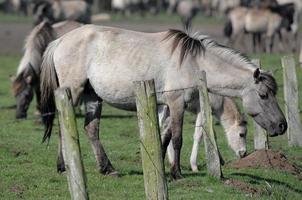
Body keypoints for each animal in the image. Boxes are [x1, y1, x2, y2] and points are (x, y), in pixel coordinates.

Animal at [40, 25, 288, 180]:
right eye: (263, 95)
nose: (282, 126)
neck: (193, 62)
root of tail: (60, 40)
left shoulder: (168, 106)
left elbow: (164, 137)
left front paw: (159, 166)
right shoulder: (176, 103)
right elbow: (177, 139)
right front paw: (176, 173)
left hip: (92, 96)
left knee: (91, 129)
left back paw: (107, 168)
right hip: (73, 92)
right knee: (64, 128)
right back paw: (63, 166)